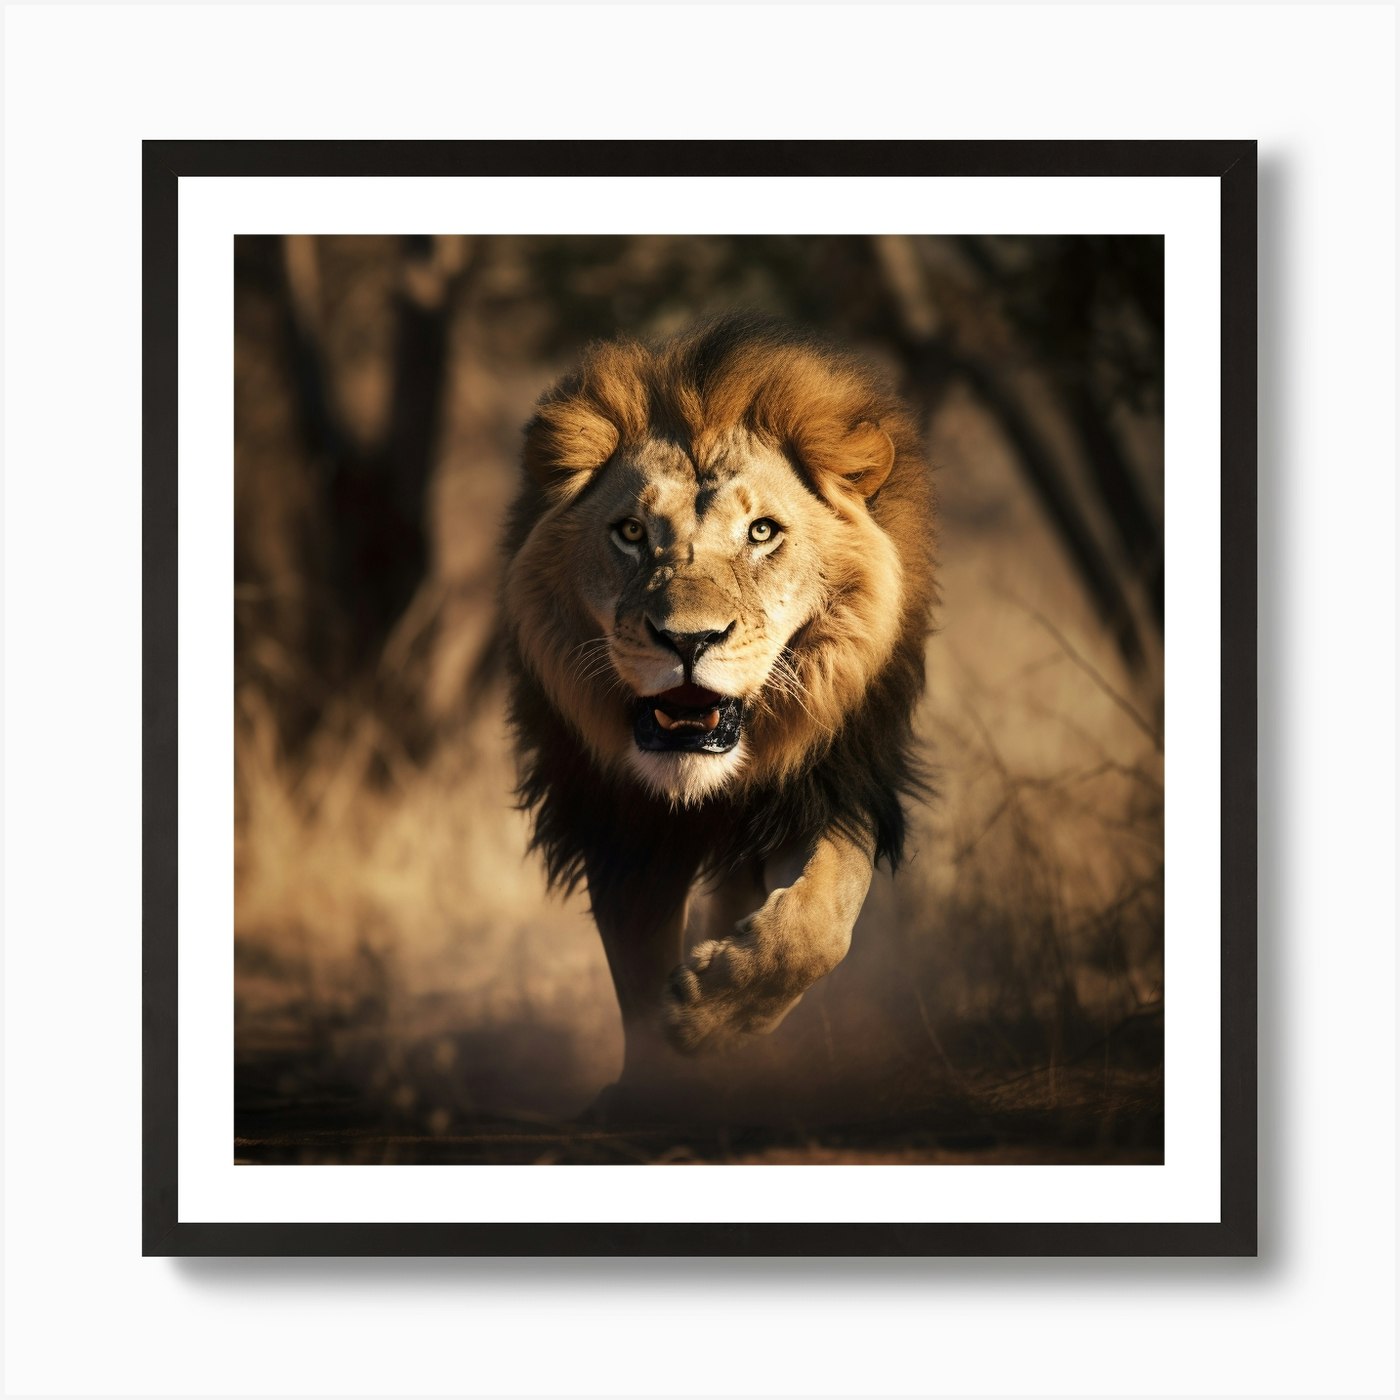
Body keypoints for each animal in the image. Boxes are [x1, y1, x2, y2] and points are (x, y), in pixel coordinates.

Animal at [501, 314, 935, 1103]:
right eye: (631, 533)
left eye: (762, 532)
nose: (687, 640)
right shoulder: (618, 823)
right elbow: (637, 965)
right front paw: (659, 1079)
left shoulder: (834, 780)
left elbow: (821, 922)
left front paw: (710, 1017)